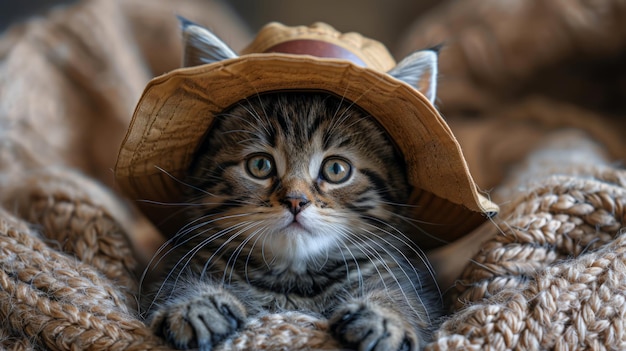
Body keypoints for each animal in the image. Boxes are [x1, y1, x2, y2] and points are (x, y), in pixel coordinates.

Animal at [144, 20, 442, 351]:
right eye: (260, 165)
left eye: (336, 169)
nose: (296, 201)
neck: (293, 279)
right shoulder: (185, 263)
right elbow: (177, 283)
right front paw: (195, 305)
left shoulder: (403, 277)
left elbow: (404, 297)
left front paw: (384, 318)